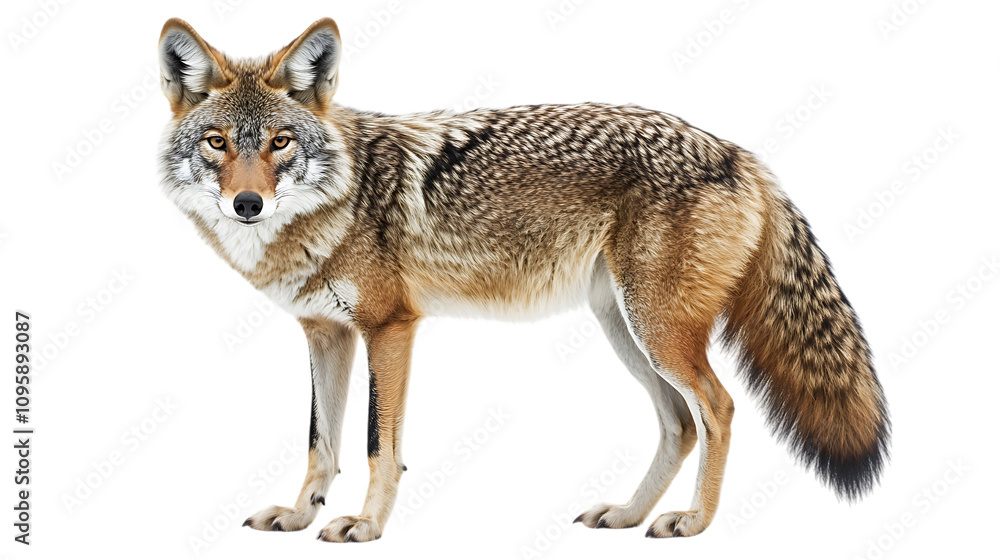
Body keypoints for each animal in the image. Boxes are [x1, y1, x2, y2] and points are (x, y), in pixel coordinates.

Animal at [157, 18, 889, 542]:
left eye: (279, 142)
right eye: (218, 142)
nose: (246, 204)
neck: (337, 203)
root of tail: (739, 152)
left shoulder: (390, 328)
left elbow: (375, 446)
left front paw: (366, 526)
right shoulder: (325, 334)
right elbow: (321, 444)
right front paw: (299, 516)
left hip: (657, 333)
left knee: (719, 408)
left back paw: (695, 523)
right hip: (626, 333)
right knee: (680, 423)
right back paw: (628, 516)